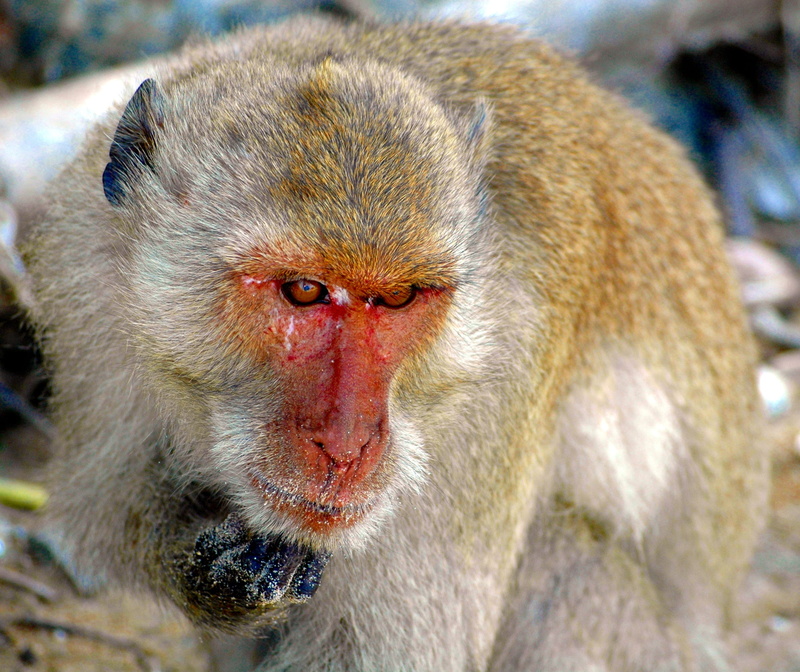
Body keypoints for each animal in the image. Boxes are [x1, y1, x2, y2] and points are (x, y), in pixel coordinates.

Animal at [24, 15, 767, 672]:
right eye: (303, 291)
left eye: (400, 298)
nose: (347, 444)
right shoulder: (89, 283)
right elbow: (106, 509)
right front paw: (215, 573)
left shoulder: (499, 380)